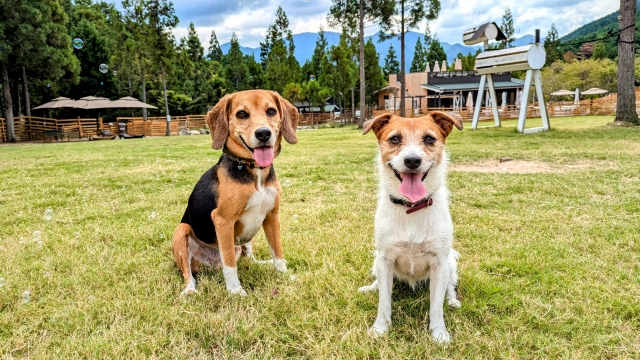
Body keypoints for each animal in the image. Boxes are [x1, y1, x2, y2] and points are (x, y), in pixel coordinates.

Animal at [360, 110, 460, 344]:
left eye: (429, 139)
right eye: (395, 139)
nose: (413, 160)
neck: (411, 208)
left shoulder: (440, 263)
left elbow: (436, 306)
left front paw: (439, 334)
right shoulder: (384, 260)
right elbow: (384, 302)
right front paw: (380, 328)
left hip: (451, 263)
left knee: (450, 287)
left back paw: (453, 300)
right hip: (376, 262)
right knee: (379, 284)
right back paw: (371, 288)